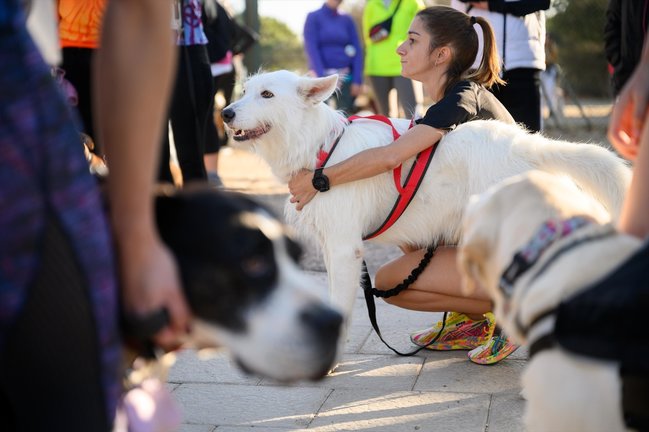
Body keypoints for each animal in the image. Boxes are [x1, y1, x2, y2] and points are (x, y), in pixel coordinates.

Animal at [221, 70, 628, 330]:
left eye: (267, 95)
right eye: (245, 90)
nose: (225, 112)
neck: (320, 146)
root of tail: (527, 144)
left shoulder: (343, 248)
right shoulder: (330, 243)